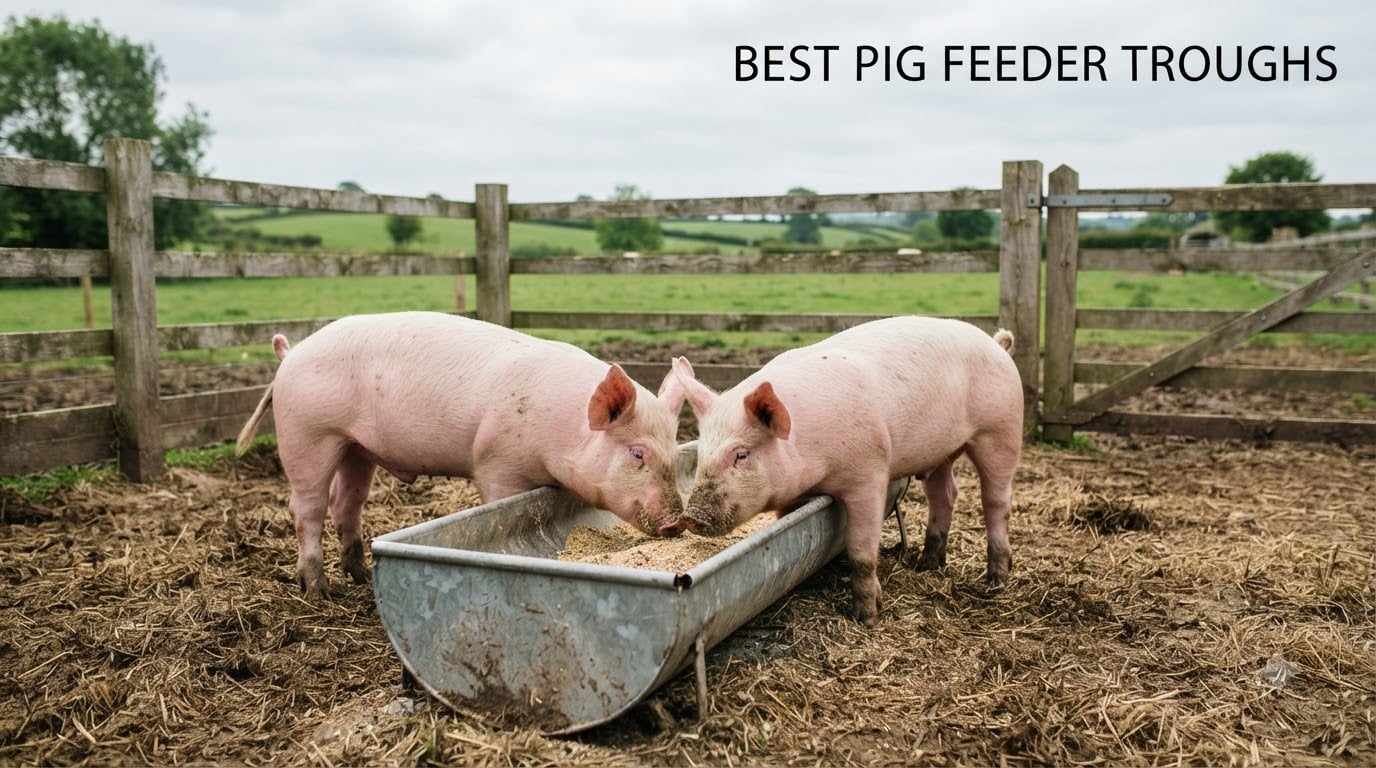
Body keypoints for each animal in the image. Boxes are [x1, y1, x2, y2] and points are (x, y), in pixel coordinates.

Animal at [235, 311, 688, 598]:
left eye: (672, 450)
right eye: (637, 454)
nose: (676, 522)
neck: (563, 430)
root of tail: (289, 355)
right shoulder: (497, 464)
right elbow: (504, 507)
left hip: (355, 447)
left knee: (346, 502)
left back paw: (360, 576)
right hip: (308, 434)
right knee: (306, 507)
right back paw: (319, 591)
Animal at [670, 316, 1022, 625]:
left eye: (741, 454)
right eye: (702, 453)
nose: (692, 516)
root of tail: (997, 345)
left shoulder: (869, 473)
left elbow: (862, 553)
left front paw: (867, 618)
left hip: (1001, 431)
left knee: (996, 500)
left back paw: (996, 581)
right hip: (941, 452)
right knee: (944, 494)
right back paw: (928, 565)